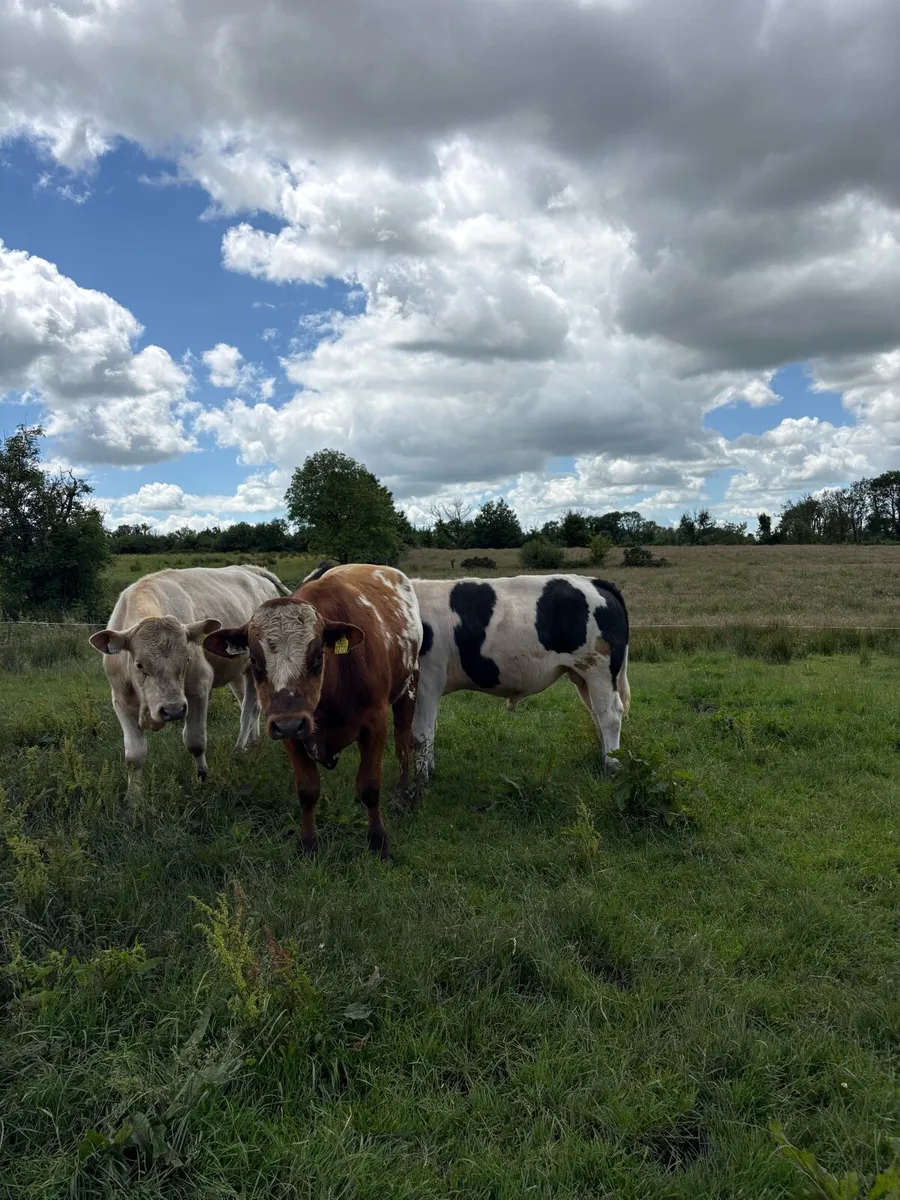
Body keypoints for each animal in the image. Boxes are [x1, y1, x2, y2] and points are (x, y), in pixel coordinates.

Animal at [89, 565, 291, 780]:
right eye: (139, 665)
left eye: (187, 660)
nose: (173, 710)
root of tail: (251, 569)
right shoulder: (121, 699)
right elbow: (134, 757)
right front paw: (134, 790)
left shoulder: (199, 686)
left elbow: (195, 742)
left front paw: (202, 777)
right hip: (239, 670)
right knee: (250, 702)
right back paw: (253, 743)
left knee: (248, 709)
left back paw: (239, 749)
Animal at [203, 564, 423, 860]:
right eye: (255, 660)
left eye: (318, 655)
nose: (288, 724)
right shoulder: (291, 732)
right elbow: (308, 790)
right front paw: (307, 844)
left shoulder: (375, 725)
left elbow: (369, 785)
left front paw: (378, 841)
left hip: (408, 688)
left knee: (403, 743)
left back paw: (403, 790)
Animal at [409, 574, 631, 783]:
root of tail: (593, 581)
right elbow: (431, 728)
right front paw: (430, 770)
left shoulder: (427, 681)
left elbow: (421, 733)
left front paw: (421, 782)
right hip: (583, 676)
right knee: (596, 713)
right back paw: (603, 758)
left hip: (599, 669)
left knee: (610, 715)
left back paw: (611, 766)